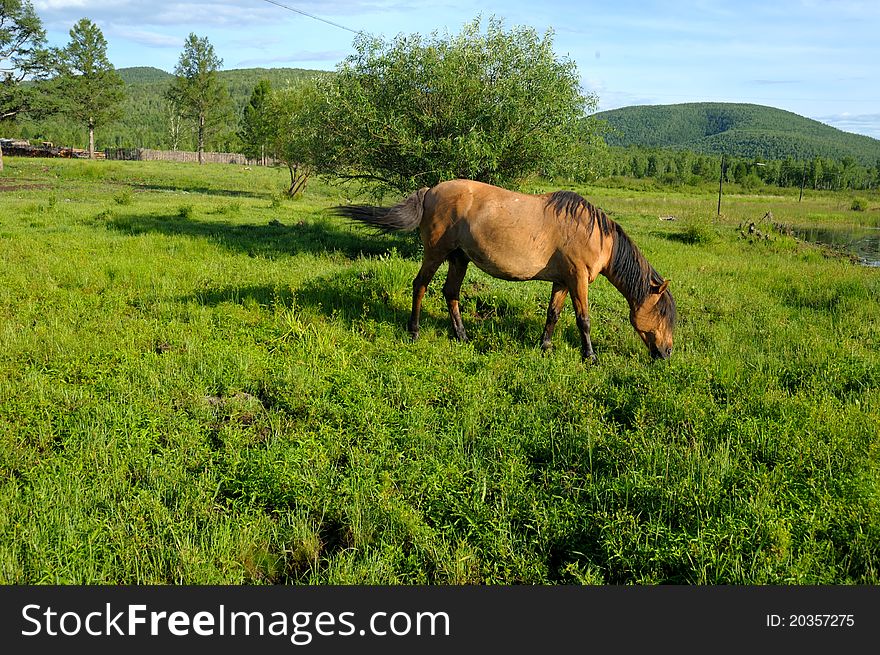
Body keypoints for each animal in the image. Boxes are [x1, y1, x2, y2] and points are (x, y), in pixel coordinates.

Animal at [334, 178, 676, 364]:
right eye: (662, 313)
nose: (666, 352)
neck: (592, 233)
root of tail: (430, 191)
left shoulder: (563, 281)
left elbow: (553, 314)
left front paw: (545, 345)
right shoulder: (578, 279)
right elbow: (584, 320)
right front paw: (590, 356)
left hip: (459, 258)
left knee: (450, 293)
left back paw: (462, 335)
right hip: (435, 254)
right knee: (420, 285)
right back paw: (414, 331)